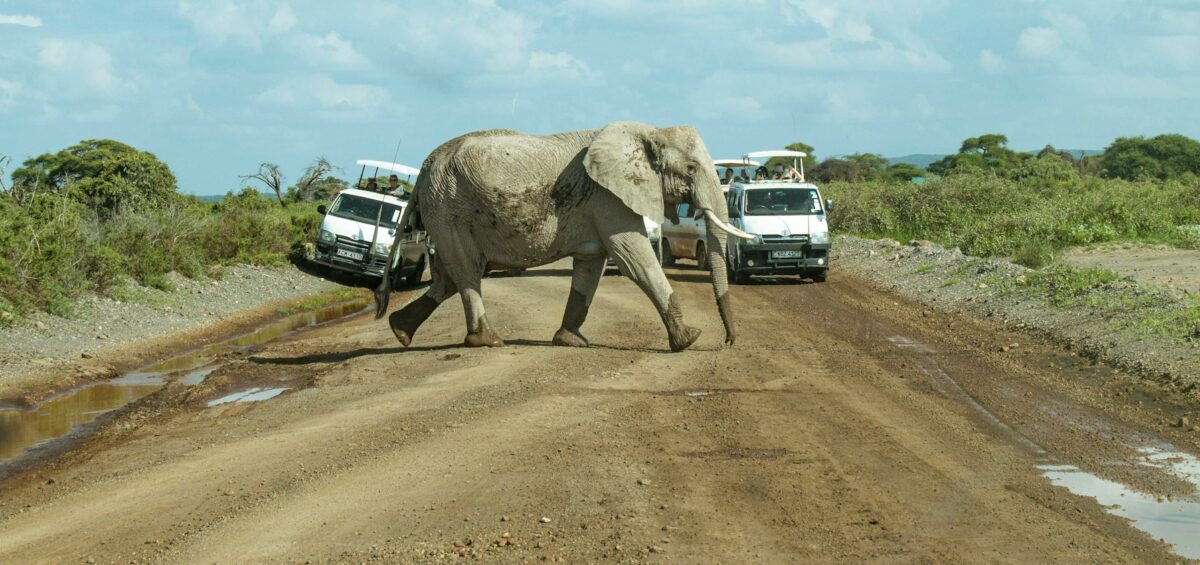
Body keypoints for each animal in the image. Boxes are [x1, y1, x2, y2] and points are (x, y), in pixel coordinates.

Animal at [373, 121, 755, 352]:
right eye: (691, 168)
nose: (728, 342)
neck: (649, 131)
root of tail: (426, 166)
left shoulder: (598, 206)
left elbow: (590, 267)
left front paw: (571, 341)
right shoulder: (608, 199)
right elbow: (634, 258)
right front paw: (688, 340)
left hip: (444, 211)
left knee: (451, 276)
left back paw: (400, 331)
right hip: (449, 206)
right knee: (467, 271)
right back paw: (489, 341)